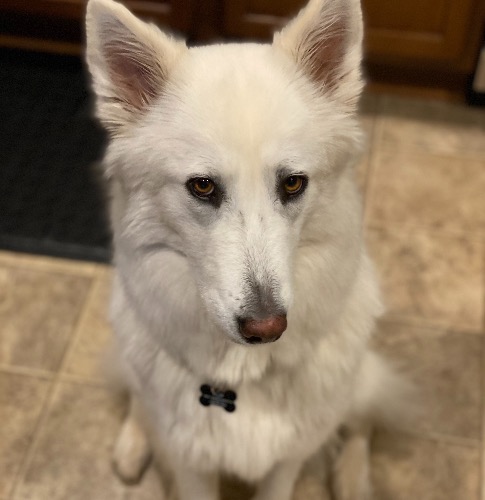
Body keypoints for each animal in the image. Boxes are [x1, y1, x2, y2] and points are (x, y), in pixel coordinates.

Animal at [85, 1, 406, 498]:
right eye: (202, 186)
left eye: (293, 183)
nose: (266, 328)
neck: (241, 376)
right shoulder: (192, 464)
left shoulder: (288, 460)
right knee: (140, 398)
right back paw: (133, 445)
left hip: (356, 384)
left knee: (360, 421)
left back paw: (353, 478)